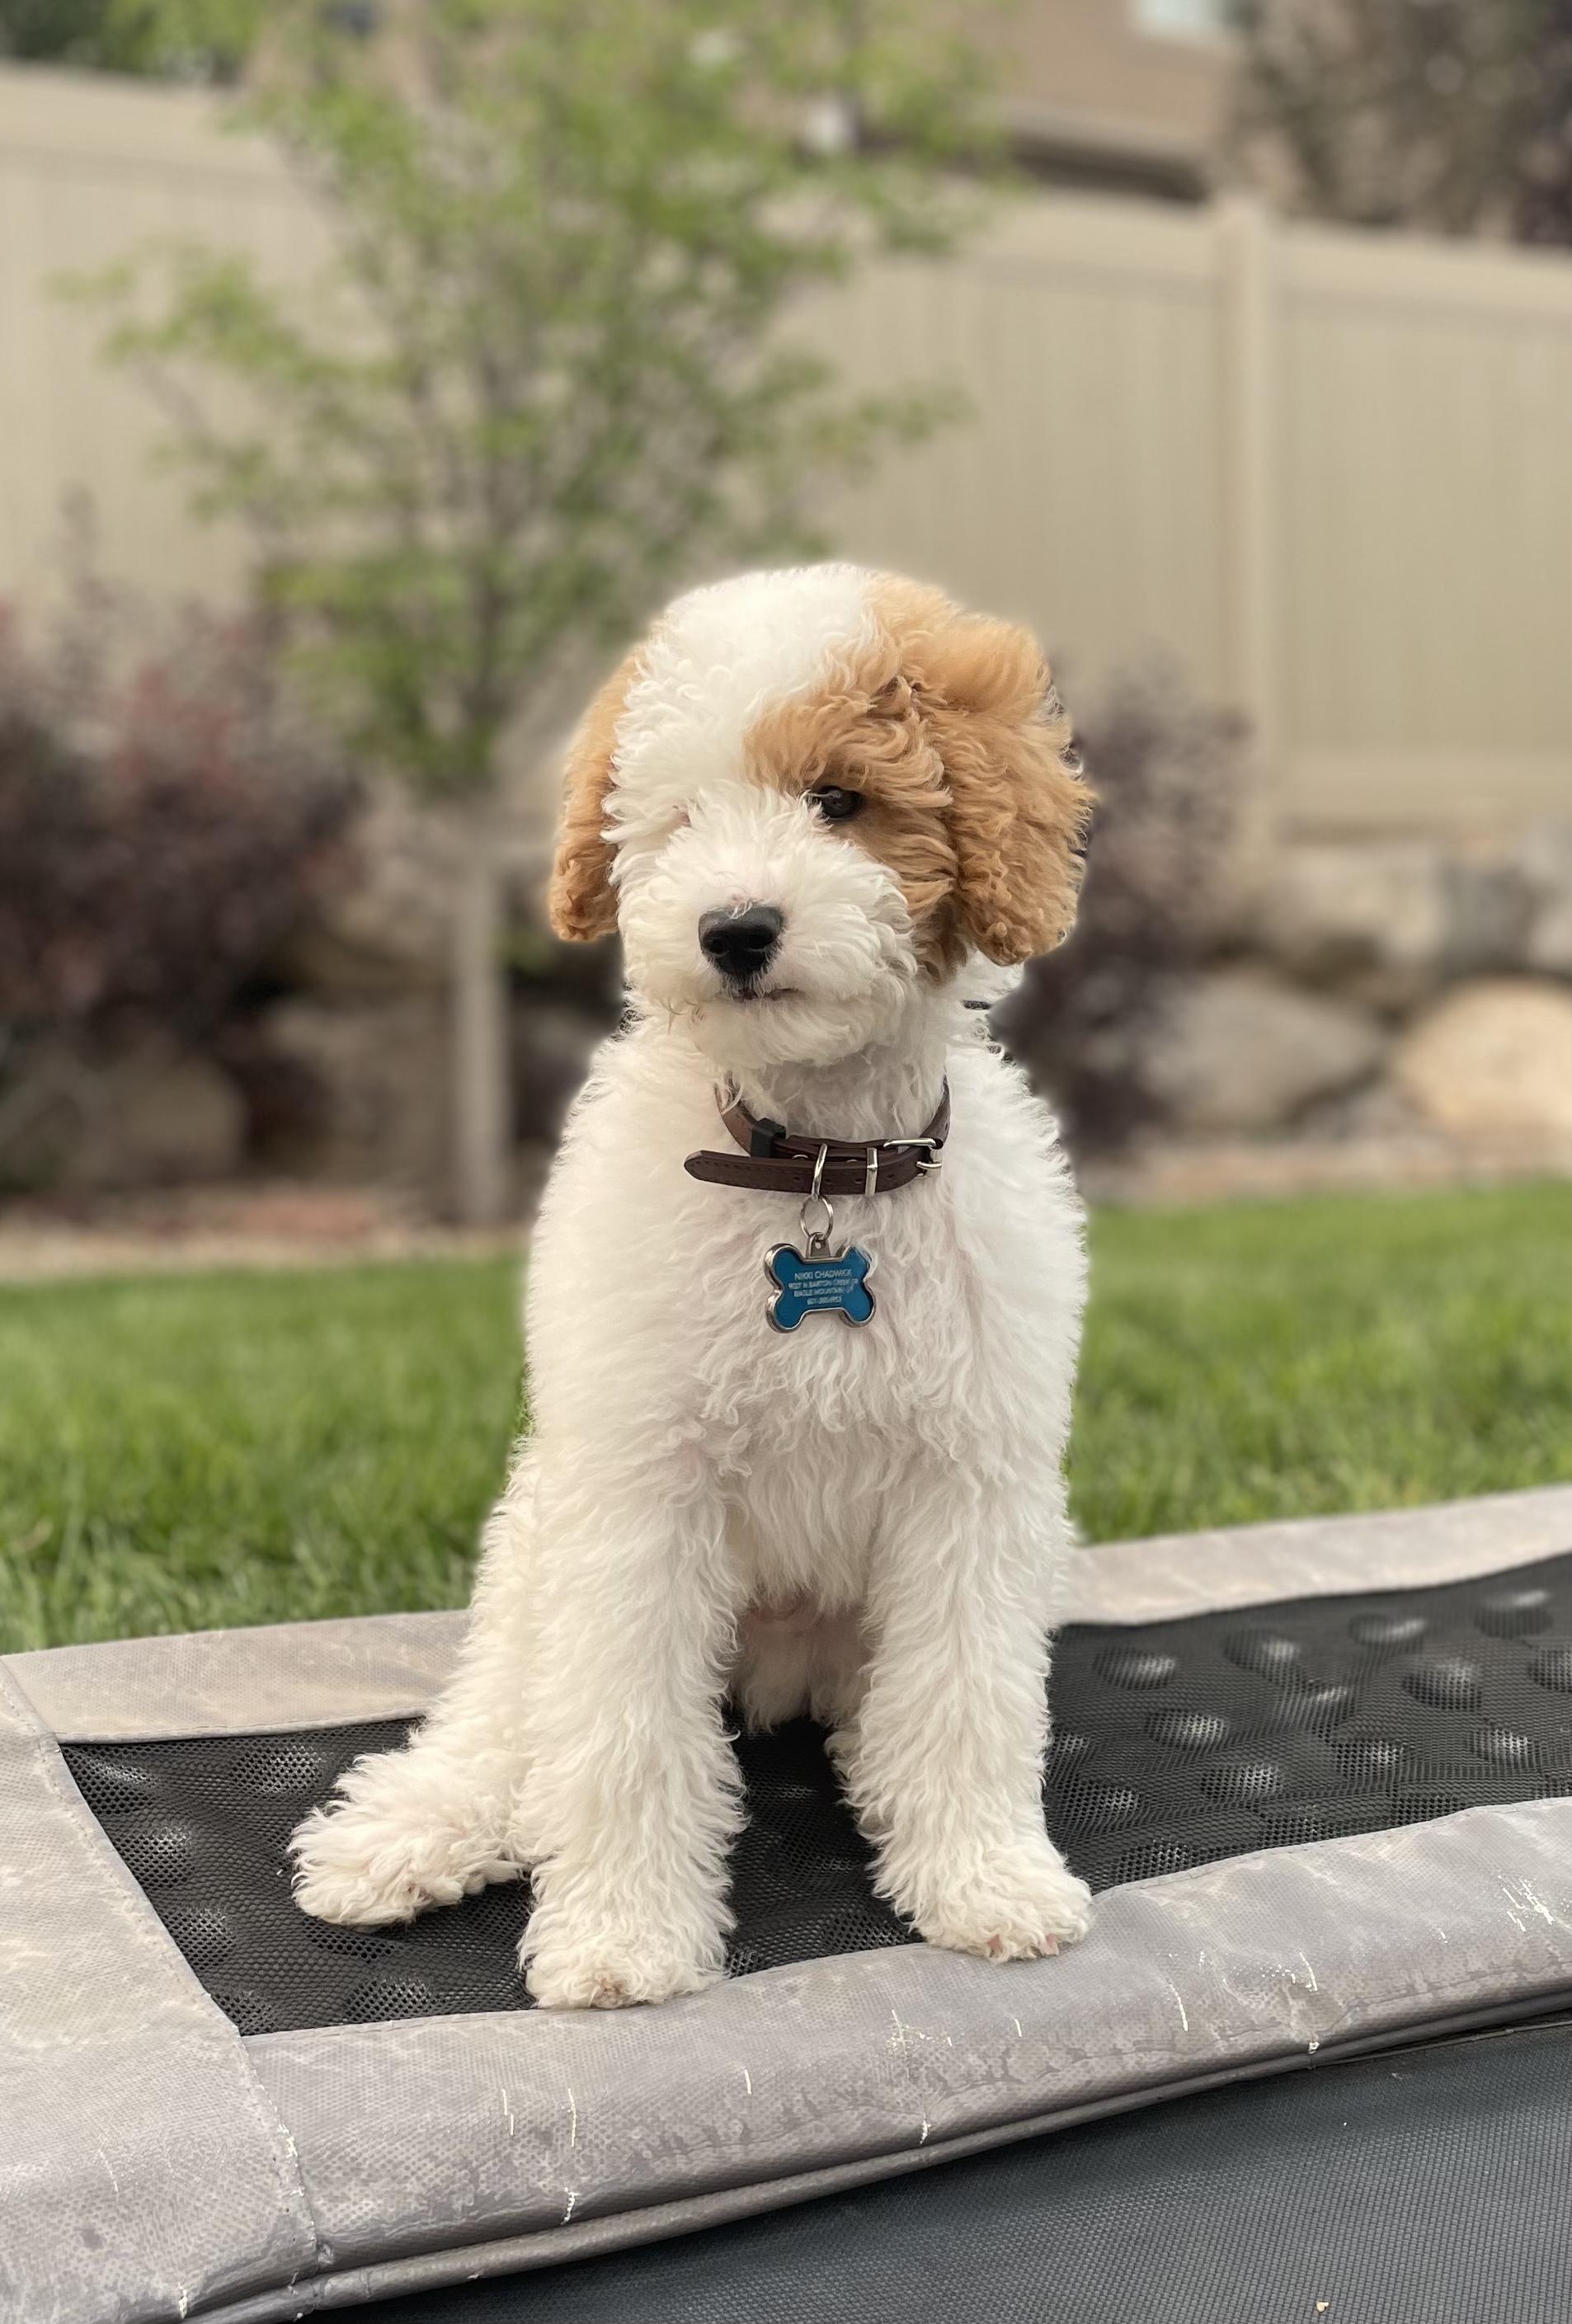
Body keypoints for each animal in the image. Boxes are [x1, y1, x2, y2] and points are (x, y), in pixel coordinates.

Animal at [290, 564, 1096, 2009]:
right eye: (675, 818)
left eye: (838, 797)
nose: (732, 929)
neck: (813, 1165)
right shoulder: (639, 1493)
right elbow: (616, 1731)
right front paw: (621, 1934)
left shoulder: (971, 1487)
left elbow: (963, 1698)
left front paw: (982, 1878)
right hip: (536, 1539)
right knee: (506, 1716)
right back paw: (420, 1829)